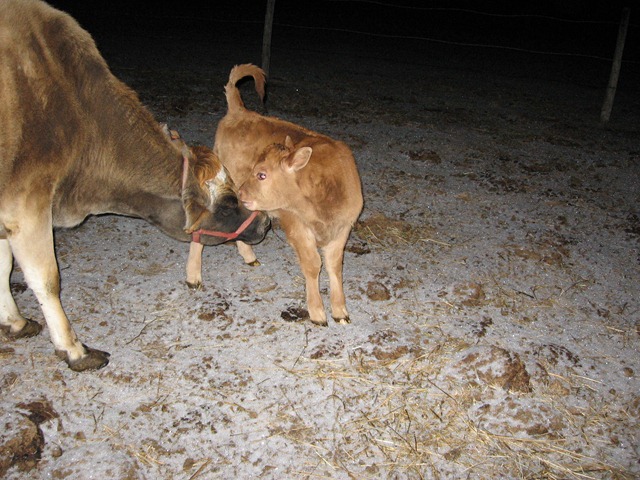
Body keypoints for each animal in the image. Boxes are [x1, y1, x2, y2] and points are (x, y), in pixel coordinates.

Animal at [0, 0, 270, 371]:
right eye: (228, 202)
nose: (265, 222)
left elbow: (3, 266)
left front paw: (14, 321)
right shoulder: (27, 203)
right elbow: (46, 279)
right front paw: (74, 350)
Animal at [187, 64, 363, 326]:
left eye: (262, 174)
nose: (241, 190)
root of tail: (240, 112)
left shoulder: (342, 228)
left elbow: (335, 266)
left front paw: (340, 310)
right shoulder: (296, 224)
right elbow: (313, 264)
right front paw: (317, 312)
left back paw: (249, 256)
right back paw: (193, 277)